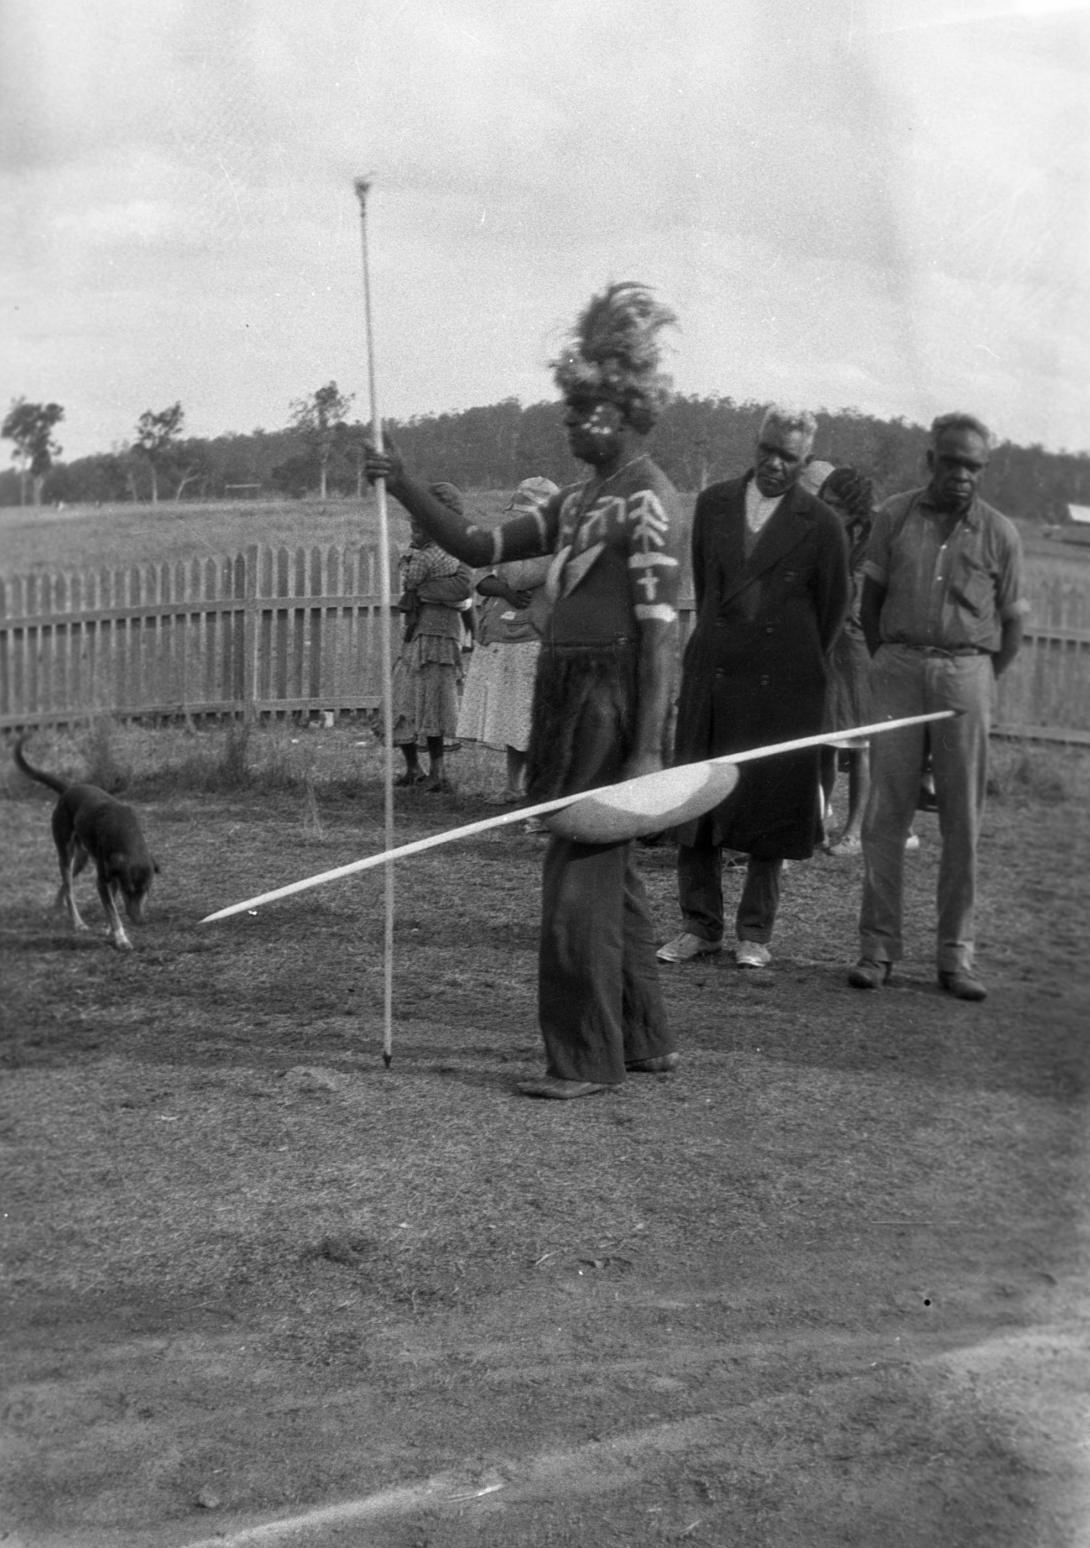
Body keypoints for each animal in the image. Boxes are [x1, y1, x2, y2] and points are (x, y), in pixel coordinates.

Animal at [14, 733, 157, 947]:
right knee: (69, 889)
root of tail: (68, 789)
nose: (140, 921)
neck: (126, 835)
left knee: (66, 886)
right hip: (66, 854)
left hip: (81, 859)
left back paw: (57, 908)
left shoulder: (113, 877)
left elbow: (111, 907)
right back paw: (77, 922)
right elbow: (112, 911)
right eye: (128, 890)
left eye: (147, 890)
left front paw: (109, 930)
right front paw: (120, 938)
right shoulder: (103, 881)